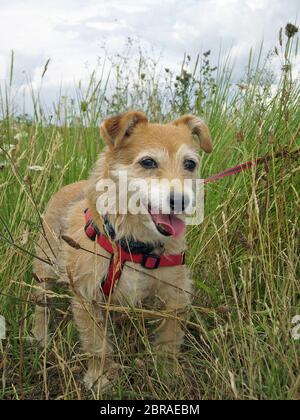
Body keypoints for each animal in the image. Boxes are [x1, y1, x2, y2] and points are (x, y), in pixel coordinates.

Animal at [31, 110, 212, 388]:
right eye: (148, 162)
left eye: (190, 164)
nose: (181, 200)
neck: (133, 244)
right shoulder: (88, 297)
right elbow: (97, 345)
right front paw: (99, 377)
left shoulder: (175, 293)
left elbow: (169, 339)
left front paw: (168, 374)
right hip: (44, 269)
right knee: (41, 304)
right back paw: (40, 335)